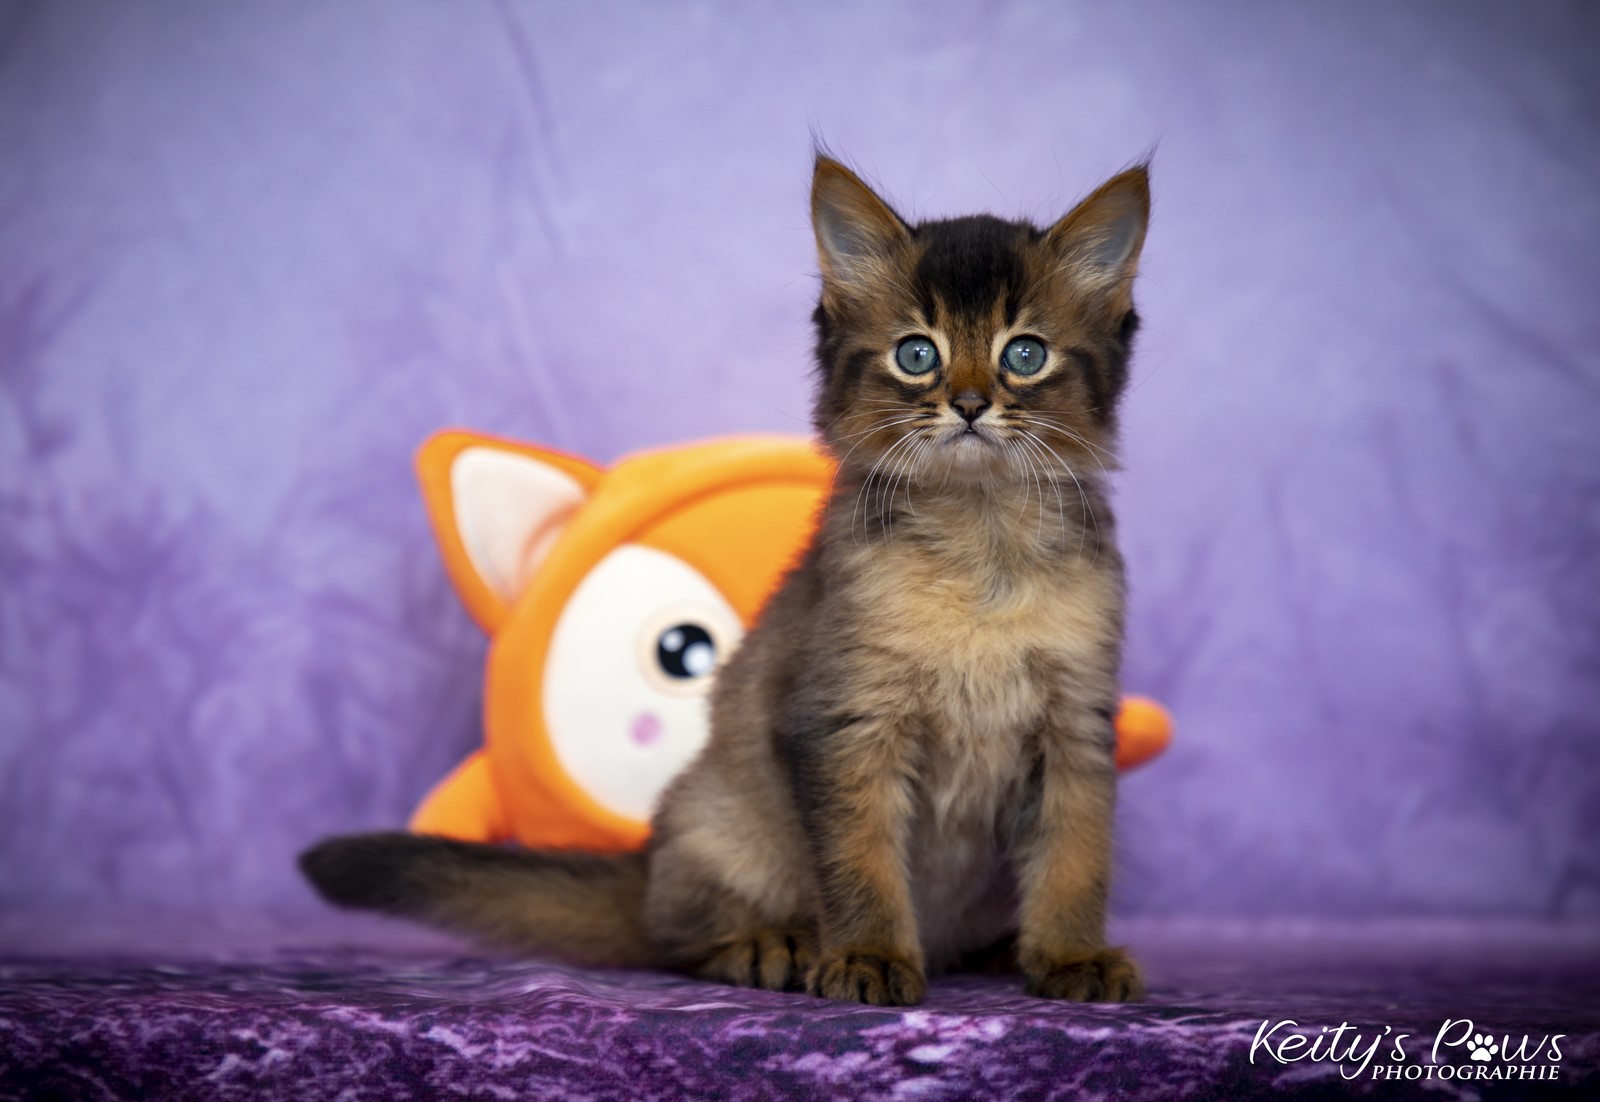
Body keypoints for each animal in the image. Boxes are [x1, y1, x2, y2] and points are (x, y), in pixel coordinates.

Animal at [301, 152, 1152, 1006]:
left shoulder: (1076, 727)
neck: (981, 545)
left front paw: (1070, 956)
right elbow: (863, 861)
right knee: (676, 932)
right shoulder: (847, 723)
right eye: (917, 354)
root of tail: (646, 867)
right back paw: (772, 945)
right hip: (716, 820)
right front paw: (870, 956)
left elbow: (1075, 858)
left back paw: (997, 950)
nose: (971, 404)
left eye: (1024, 354)